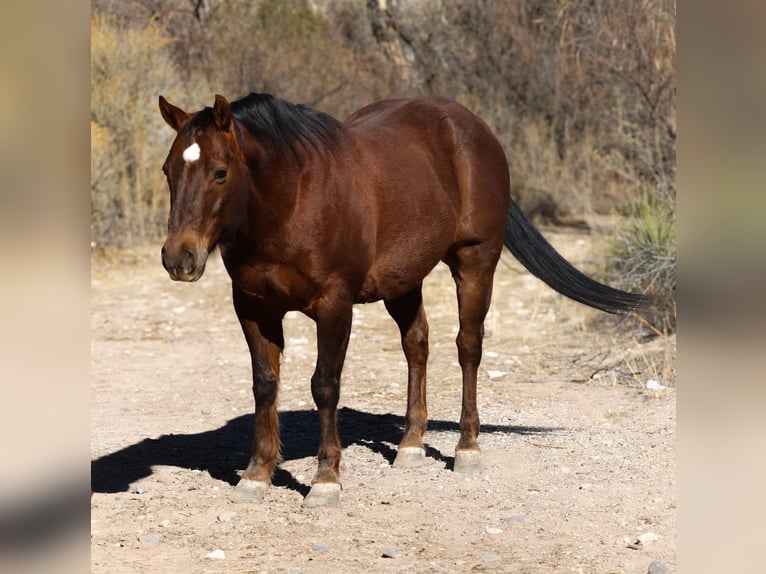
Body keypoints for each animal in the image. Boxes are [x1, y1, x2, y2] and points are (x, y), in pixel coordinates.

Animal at [159, 93, 644, 508]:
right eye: (168, 170)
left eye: (220, 172)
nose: (179, 257)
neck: (292, 200)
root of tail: (473, 126)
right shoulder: (253, 307)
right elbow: (264, 385)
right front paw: (257, 475)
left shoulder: (334, 305)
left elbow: (325, 386)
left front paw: (326, 480)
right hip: (403, 281)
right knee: (417, 345)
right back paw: (410, 445)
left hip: (475, 262)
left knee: (468, 347)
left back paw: (466, 448)